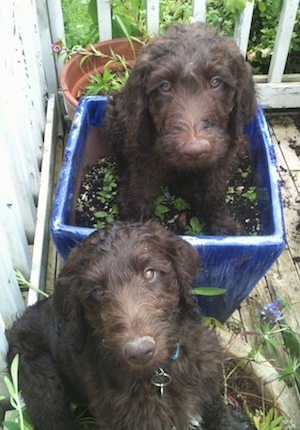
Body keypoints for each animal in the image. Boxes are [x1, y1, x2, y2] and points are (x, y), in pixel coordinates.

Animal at [6, 223, 251, 428]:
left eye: (149, 273)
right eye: (98, 291)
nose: (140, 351)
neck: (160, 373)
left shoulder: (208, 374)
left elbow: (216, 408)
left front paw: (233, 423)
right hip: (42, 385)